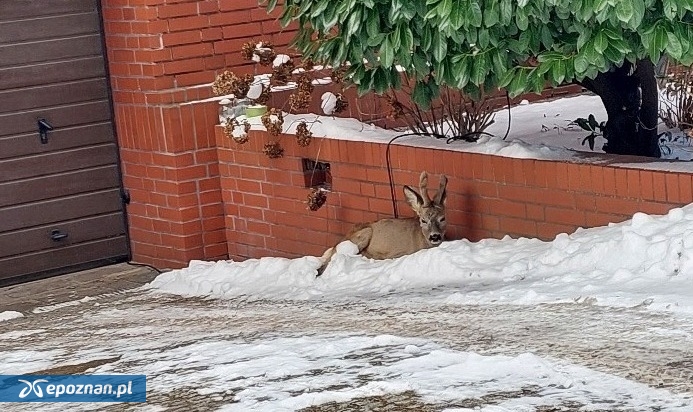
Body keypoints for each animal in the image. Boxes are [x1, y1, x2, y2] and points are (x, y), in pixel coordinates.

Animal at [314, 171, 446, 276]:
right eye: (423, 220)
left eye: (442, 218)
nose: (435, 236)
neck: (423, 242)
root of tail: (335, 245)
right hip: (364, 233)